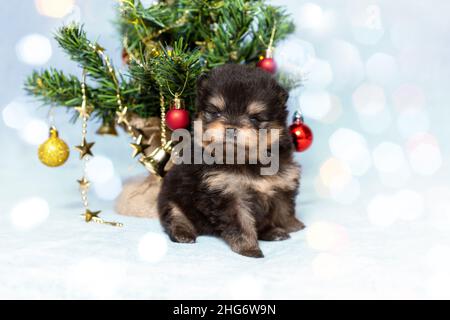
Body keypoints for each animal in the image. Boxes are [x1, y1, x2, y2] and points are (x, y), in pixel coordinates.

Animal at [156, 63, 304, 256]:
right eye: (216, 112)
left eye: (255, 118)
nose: (231, 128)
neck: (246, 160)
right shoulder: (228, 194)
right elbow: (241, 223)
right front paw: (249, 249)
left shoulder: (281, 183)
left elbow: (284, 208)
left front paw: (293, 225)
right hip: (171, 198)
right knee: (175, 216)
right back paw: (183, 233)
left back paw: (273, 232)